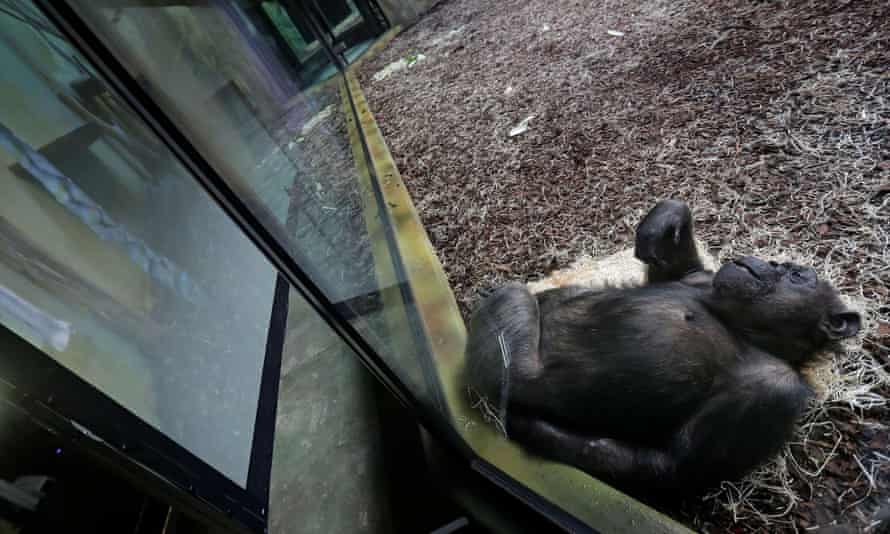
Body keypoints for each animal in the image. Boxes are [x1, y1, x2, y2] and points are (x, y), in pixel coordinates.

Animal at [464, 200, 860, 494]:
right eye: (783, 264)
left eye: (796, 275)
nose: (769, 262)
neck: (744, 327)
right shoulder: (699, 278)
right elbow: (670, 264)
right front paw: (662, 225)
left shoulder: (774, 392)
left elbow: (675, 466)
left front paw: (530, 428)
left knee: (513, 299)